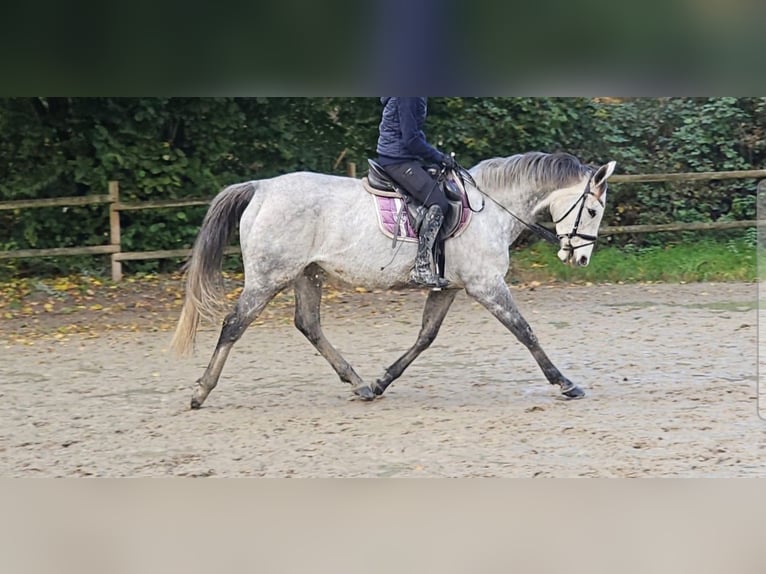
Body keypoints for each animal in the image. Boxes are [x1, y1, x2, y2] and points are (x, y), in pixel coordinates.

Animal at [172, 151, 616, 408]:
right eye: (594, 211)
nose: (580, 259)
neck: (491, 208)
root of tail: (261, 188)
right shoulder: (486, 285)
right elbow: (525, 332)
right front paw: (565, 383)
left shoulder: (450, 287)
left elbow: (425, 337)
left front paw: (383, 380)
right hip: (268, 277)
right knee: (234, 324)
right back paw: (200, 391)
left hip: (306, 274)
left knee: (308, 324)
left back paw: (359, 383)